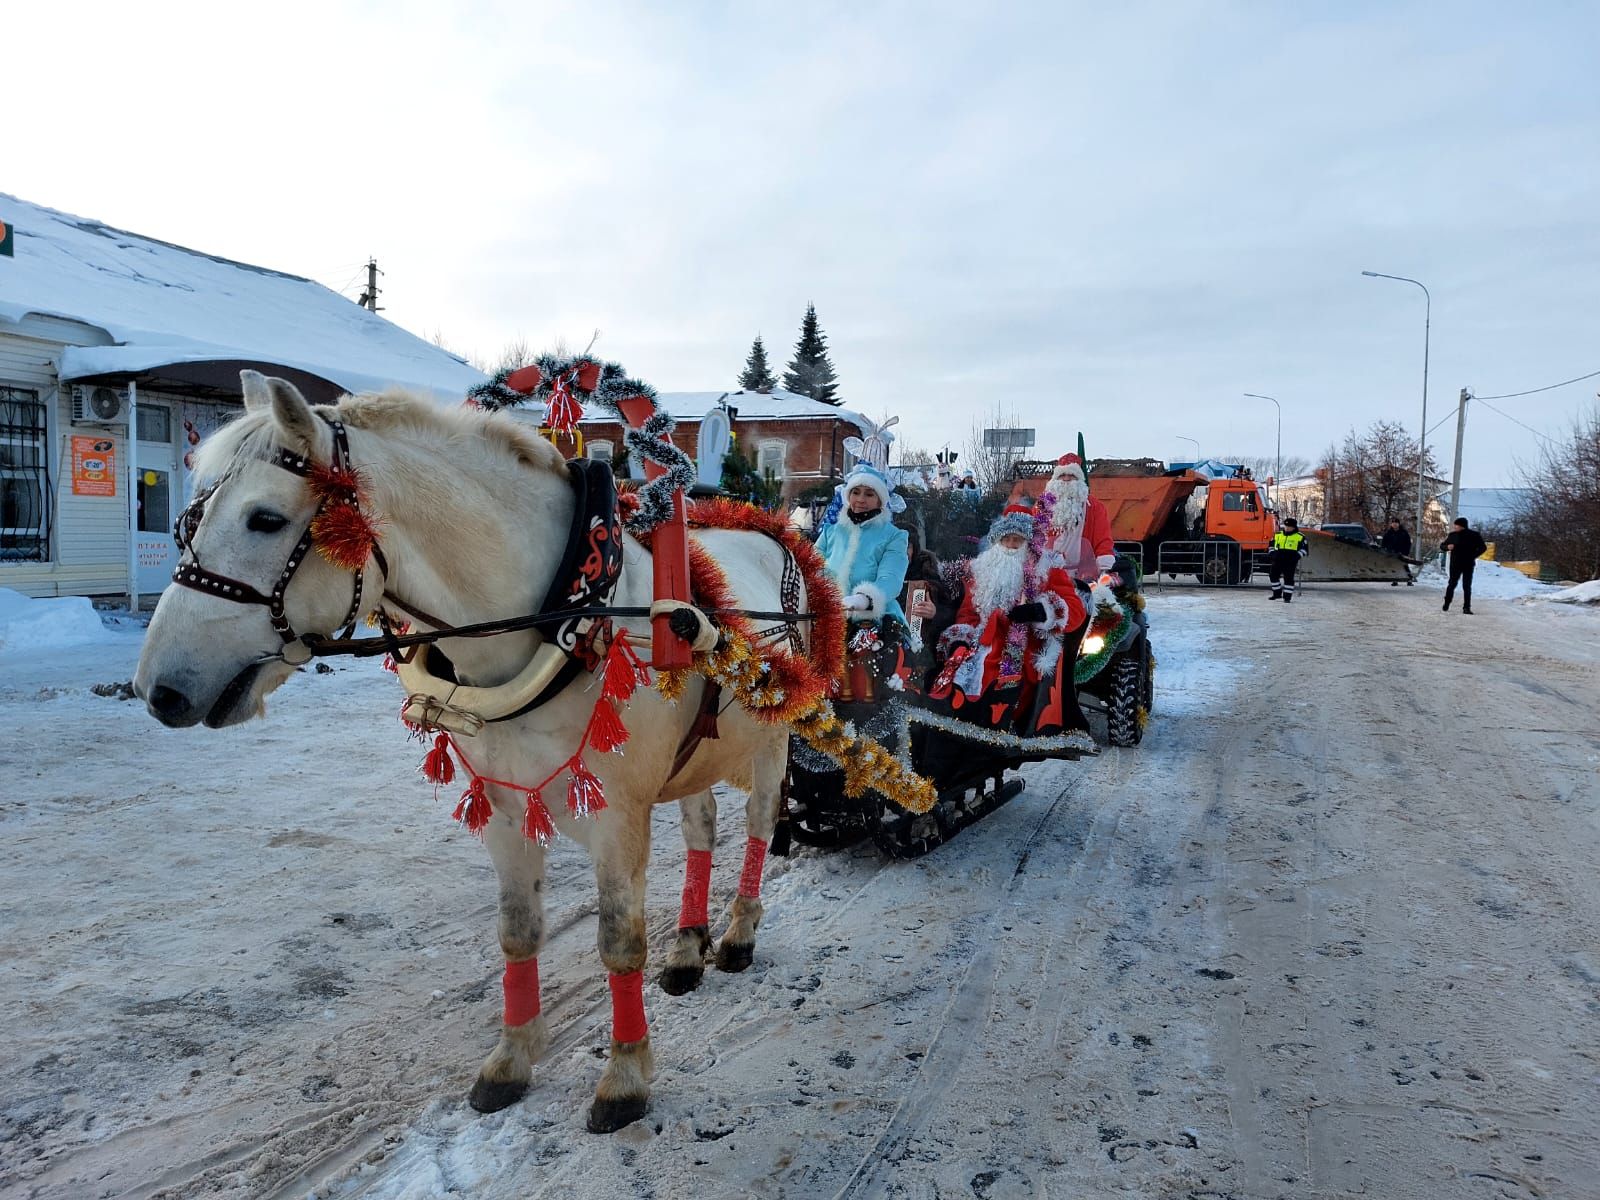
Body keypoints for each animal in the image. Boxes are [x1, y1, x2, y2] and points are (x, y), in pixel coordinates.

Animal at [134, 371, 812, 1132]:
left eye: (266, 520)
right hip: (694, 757)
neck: (573, 615)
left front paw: (625, 1076)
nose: (159, 690)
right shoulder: (506, 810)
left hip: (773, 741)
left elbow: (617, 941)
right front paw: (511, 1062)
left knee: (757, 826)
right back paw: (690, 946)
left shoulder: (617, 820)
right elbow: (517, 932)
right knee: (702, 830)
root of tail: (769, 533)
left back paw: (738, 935)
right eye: (187, 523)